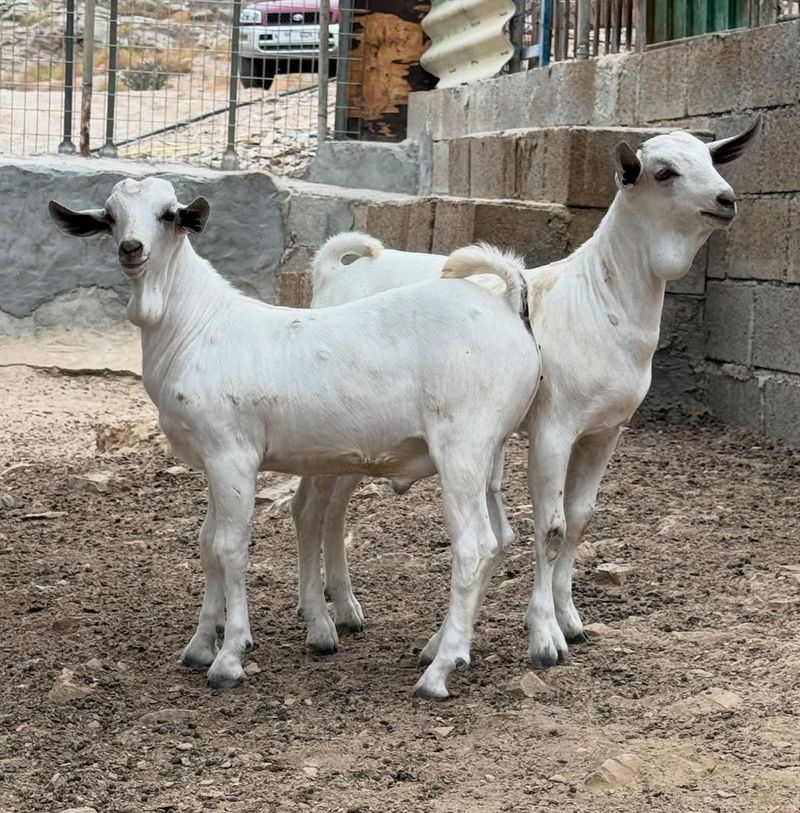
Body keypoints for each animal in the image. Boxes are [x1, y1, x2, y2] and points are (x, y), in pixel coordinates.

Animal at [50, 179, 544, 696]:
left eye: (168, 214)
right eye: (109, 216)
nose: (131, 248)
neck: (198, 326)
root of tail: (508, 306)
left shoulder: (233, 455)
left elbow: (230, 547)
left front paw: (229, 657)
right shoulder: (212, 461)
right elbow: (207, 543)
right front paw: (199, 646)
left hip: (462, 446)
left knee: (474, 545)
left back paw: (438, 670)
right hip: (490, 452)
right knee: (500, 539)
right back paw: (444, 648)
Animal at [290, 119, 760, 668]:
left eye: (713, 159)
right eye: (664, 172)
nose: (726, 200)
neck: (598, 298)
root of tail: (336, 271)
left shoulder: (605, 432)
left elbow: (579, 521)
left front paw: (570, 619)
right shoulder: (555, 426)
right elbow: (551, 529)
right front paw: (544, 637)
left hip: (362, 437)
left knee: (333, 508)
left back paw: (344, 608)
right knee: (309, 508)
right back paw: (320, 624)